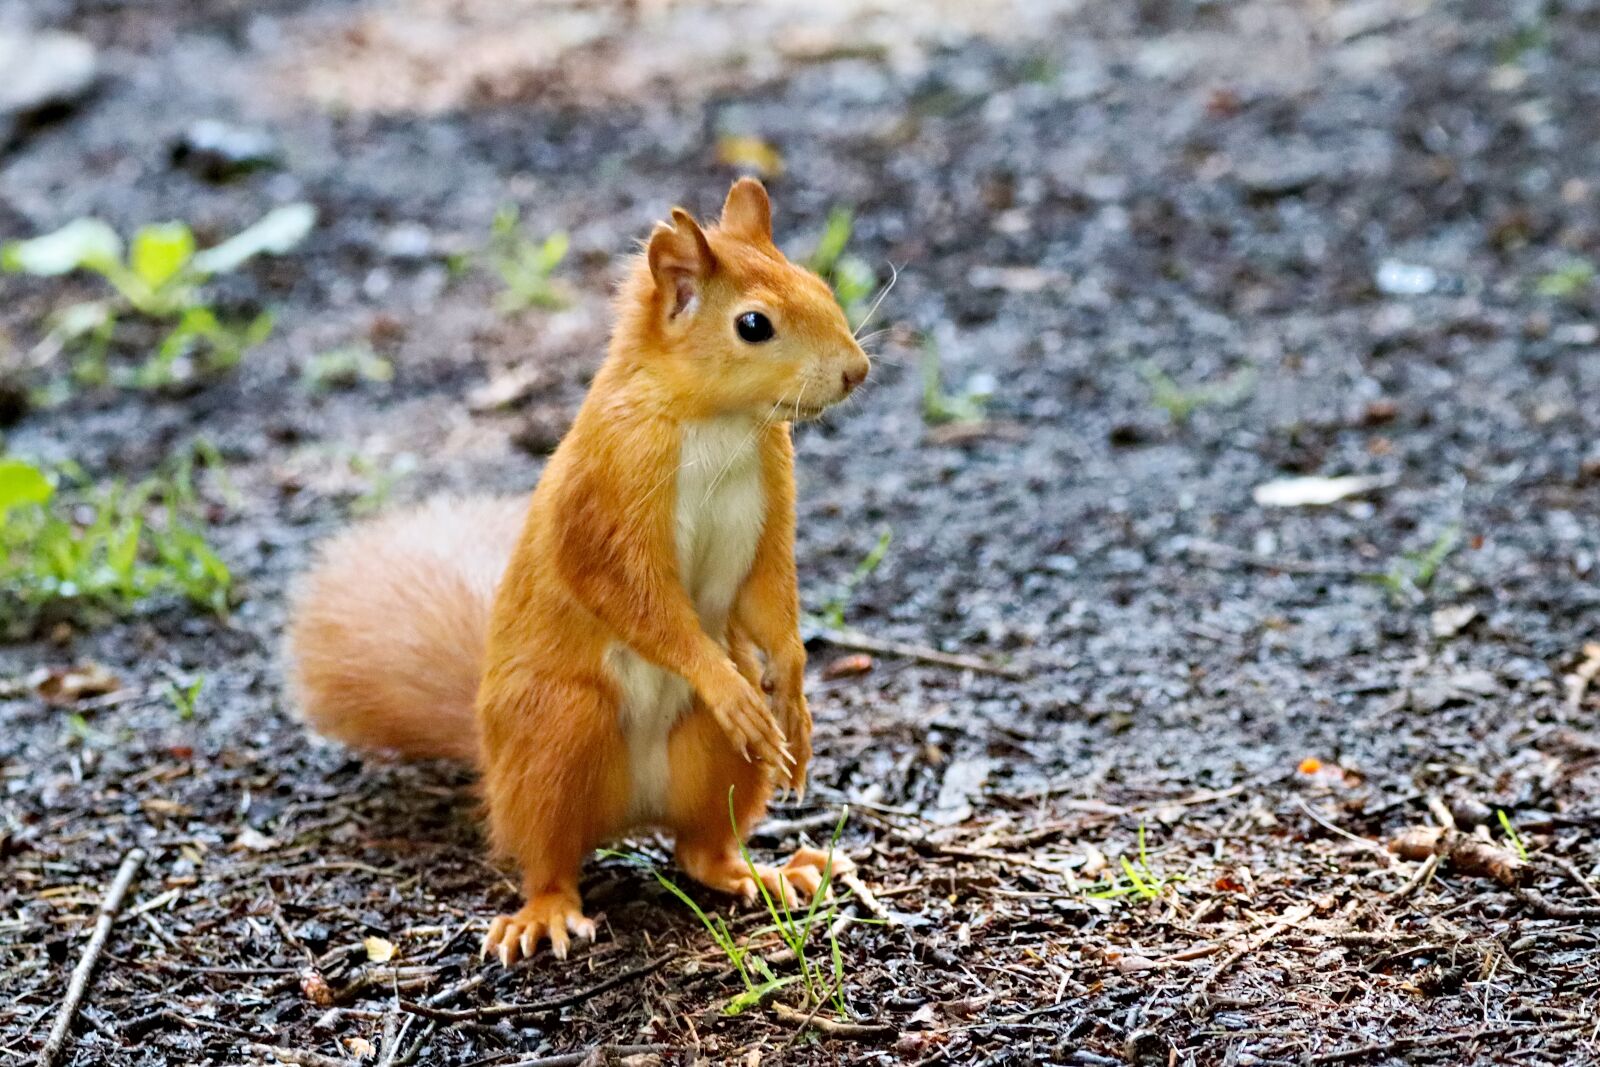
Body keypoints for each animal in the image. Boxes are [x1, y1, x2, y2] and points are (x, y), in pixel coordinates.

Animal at [284, 181, 864, 966]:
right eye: (754, 324)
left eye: (822, 287)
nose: (856, 371)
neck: (720, 423)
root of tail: (630, 810)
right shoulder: (606, 499)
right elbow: (636, 599)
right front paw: (728, 685)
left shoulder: (771, 503)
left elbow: (770, 602)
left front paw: (796, 705)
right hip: (558, 729)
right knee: (548, 855)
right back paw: (546, 912)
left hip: (715, 759)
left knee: (699, 849)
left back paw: (762, 874)